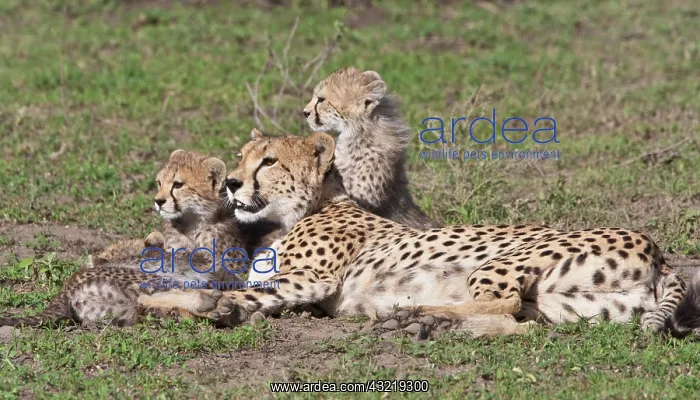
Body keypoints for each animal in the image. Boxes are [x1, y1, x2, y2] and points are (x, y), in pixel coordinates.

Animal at [158, 131, 700, 338]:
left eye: (268, 162)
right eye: (243, 158)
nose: (231, 183)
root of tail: (659, 251)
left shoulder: (314, 279)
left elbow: (231, 291)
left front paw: (174, 306)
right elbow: (248, 293)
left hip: (502, 258)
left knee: (503, 304)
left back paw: (414, 314)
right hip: (570, 306)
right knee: (522, 322)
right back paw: (426, 321)